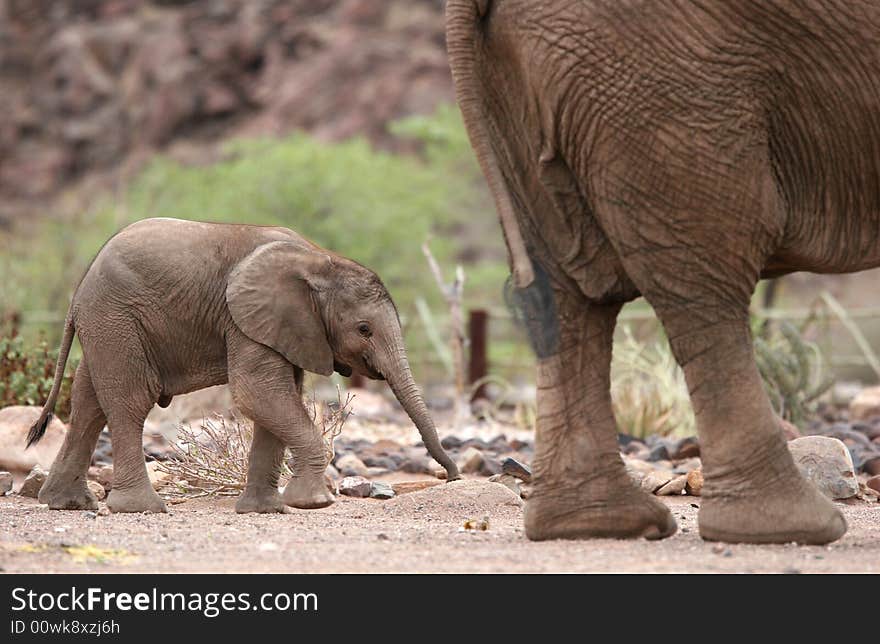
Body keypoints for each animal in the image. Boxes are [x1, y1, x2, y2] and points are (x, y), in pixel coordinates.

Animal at [27, 219, 460, 516]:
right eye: (364, 329)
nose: (453, 476)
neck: (319, 260)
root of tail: (78, 292)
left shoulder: (284, 328)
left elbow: (277, 400)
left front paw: (266, 510)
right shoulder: (246, 320)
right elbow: (258, 394)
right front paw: (313, 503)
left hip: (107, 325)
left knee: (88, 404)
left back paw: (67, 503)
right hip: (117, 318)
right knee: (130, 401)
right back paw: (141, 508)